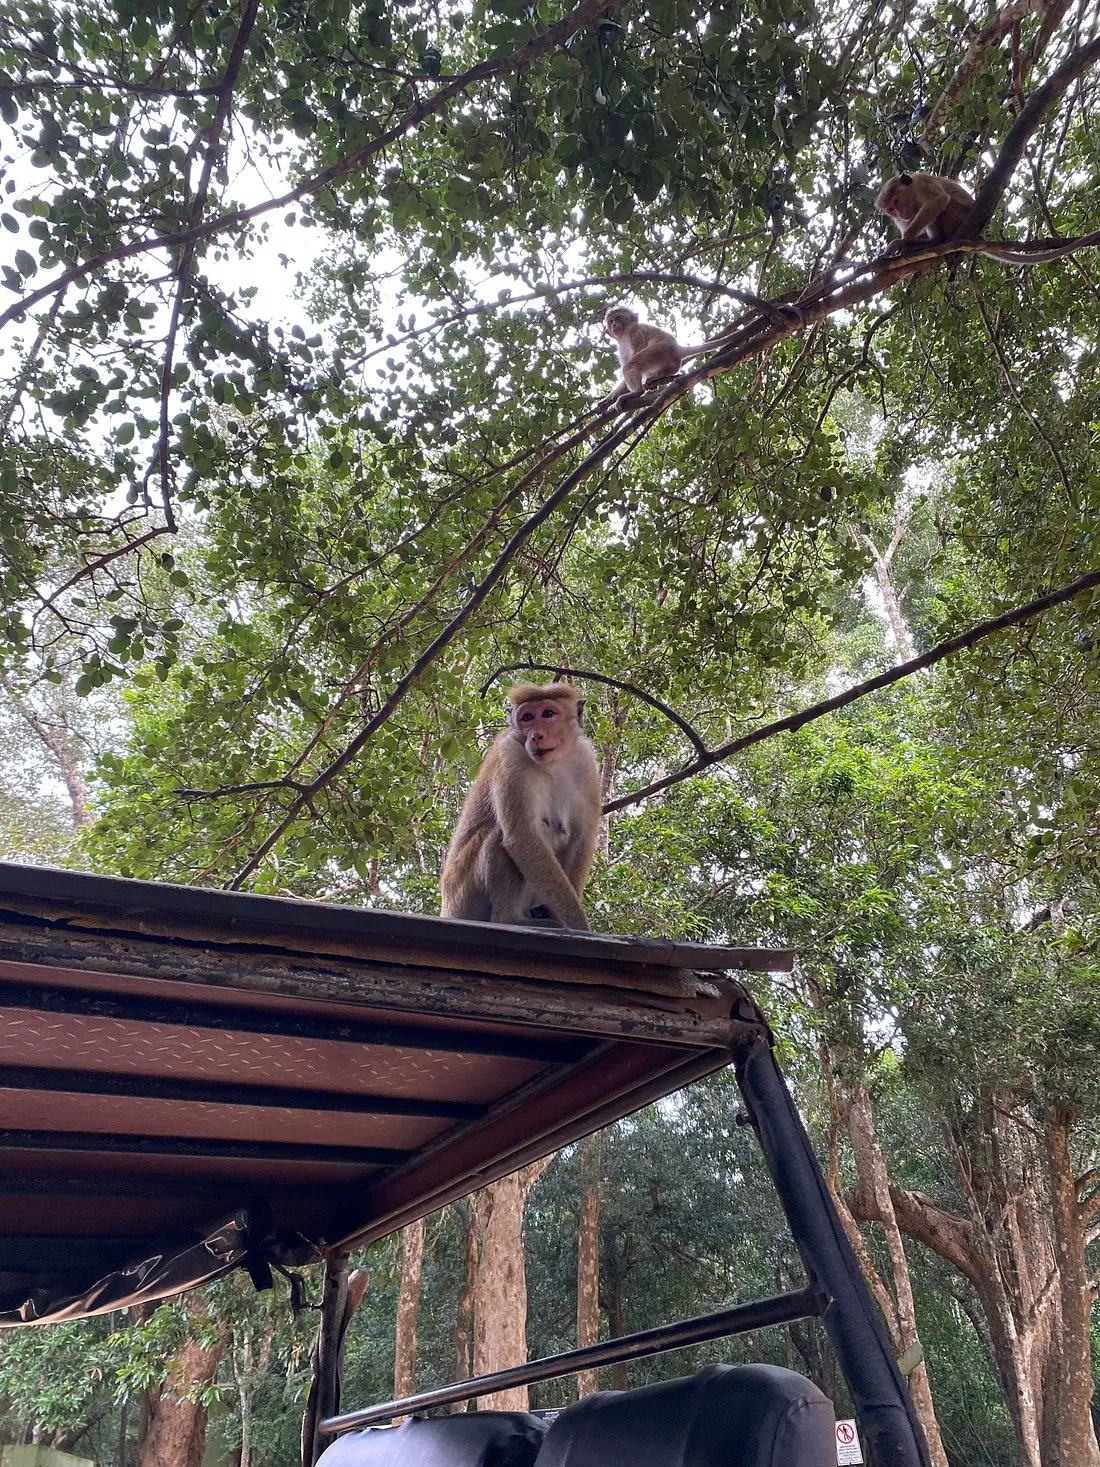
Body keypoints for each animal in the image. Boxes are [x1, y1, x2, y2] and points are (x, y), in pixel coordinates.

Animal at [440, 682, 601, 930]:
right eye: (527, 717)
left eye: (548, 713)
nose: (536, 735)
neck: (552, 763)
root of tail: (448, 908)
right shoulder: (511, 758)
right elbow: (522, 836)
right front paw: (579, 924)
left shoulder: (585, 761)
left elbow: (581, 837)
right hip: (462, 893)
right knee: (500, 834)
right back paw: (510, 918)